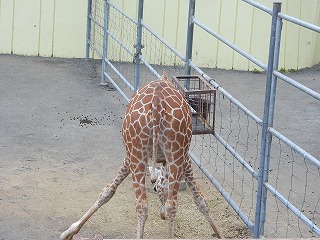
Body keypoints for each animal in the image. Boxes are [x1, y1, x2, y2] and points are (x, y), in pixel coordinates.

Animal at [59, 74, 222, 238]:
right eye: (155, 189)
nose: (161, 215)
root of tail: (157, 104)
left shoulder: (137, 156)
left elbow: (107, 191)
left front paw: (67, 233)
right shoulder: (178, 158)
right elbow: (107, 192)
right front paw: (68, 233)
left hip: (142, 152)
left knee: (142, 205)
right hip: (169, 153)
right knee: (170, 205)